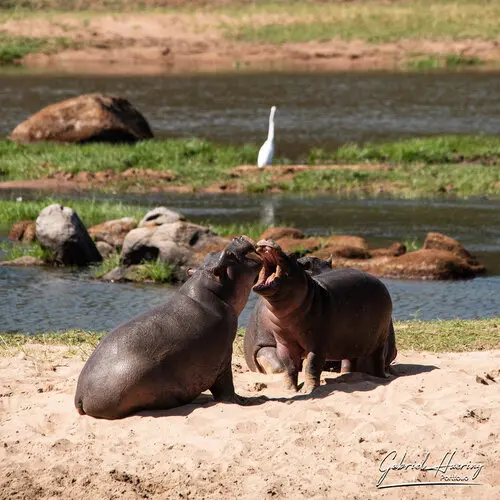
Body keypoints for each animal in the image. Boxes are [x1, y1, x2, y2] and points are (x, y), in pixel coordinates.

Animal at [75, 234, 262, 418]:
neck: (211, 291)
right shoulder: (223, 358)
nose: (237, 237)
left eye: (211, 254)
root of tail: (79, 396)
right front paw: (244, 400)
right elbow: (226, 389)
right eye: (229, 255)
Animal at [248, 240, 396, 392]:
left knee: (378, 359)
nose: (268, 241)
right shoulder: (284, 344)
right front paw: (289, 389)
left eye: (293, 255)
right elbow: (289, 367)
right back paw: (348, 375)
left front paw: (308, 390)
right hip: (352, 342)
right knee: (350, 360)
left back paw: (382, 377)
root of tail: (381, 283)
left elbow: (311, 365)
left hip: (380, 341)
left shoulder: (317, 344)